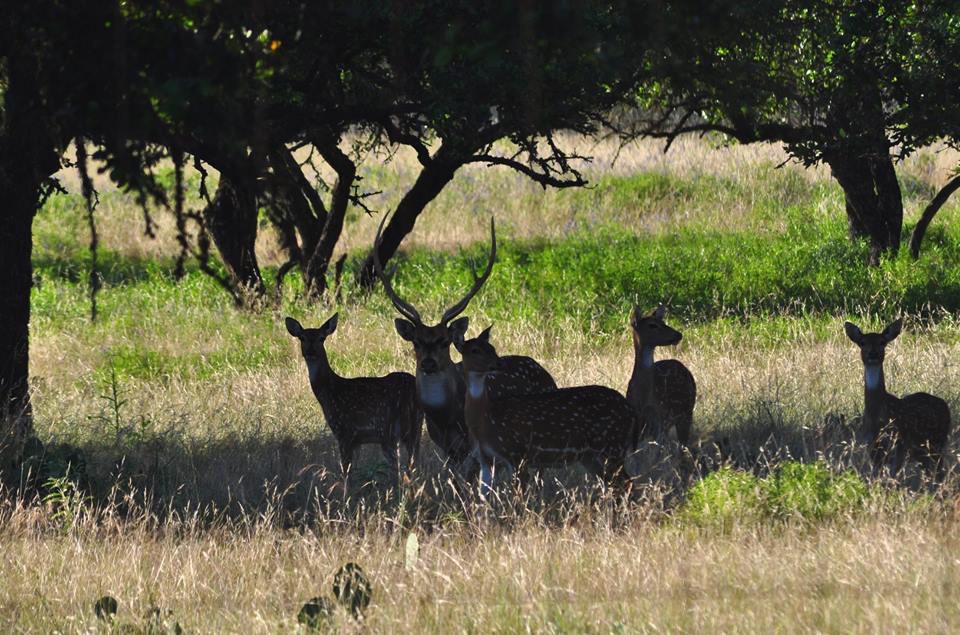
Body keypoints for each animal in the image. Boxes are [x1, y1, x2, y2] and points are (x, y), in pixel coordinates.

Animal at [285, 314, 423, 488]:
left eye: (322, 338)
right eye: (302, 337)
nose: (310, 351)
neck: (330, 392)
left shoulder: (344, 431)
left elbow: (346, 473)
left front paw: (346, 494)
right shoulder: (357, 441)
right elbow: (354, 472)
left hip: (389, 430)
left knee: (399, 469)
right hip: (415, 428)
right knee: (413, 464)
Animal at [373, 213, 557, 470]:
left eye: (444, 341)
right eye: (416, 342)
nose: (428, 363)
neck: (445, 417)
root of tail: (547, 373)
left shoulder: (472, 443)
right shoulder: (444, 446)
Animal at [456, 326, 637, 494]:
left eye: (492, 348)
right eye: (474, 350)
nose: (499, 363)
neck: (485, 418)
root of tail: (630, 409)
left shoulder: (517, 454)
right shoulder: (485, 459)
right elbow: (483, 497)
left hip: (612, 446)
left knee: (627, 483)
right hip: (591, 456)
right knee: (613, 483)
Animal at [844, 319, 951, 478]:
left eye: (882, 342)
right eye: (862, 342)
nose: (873, 354)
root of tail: (945, 405)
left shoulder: (899, 445)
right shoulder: (872, 446)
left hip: (937, 442)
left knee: (940, 471)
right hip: (921, 451)